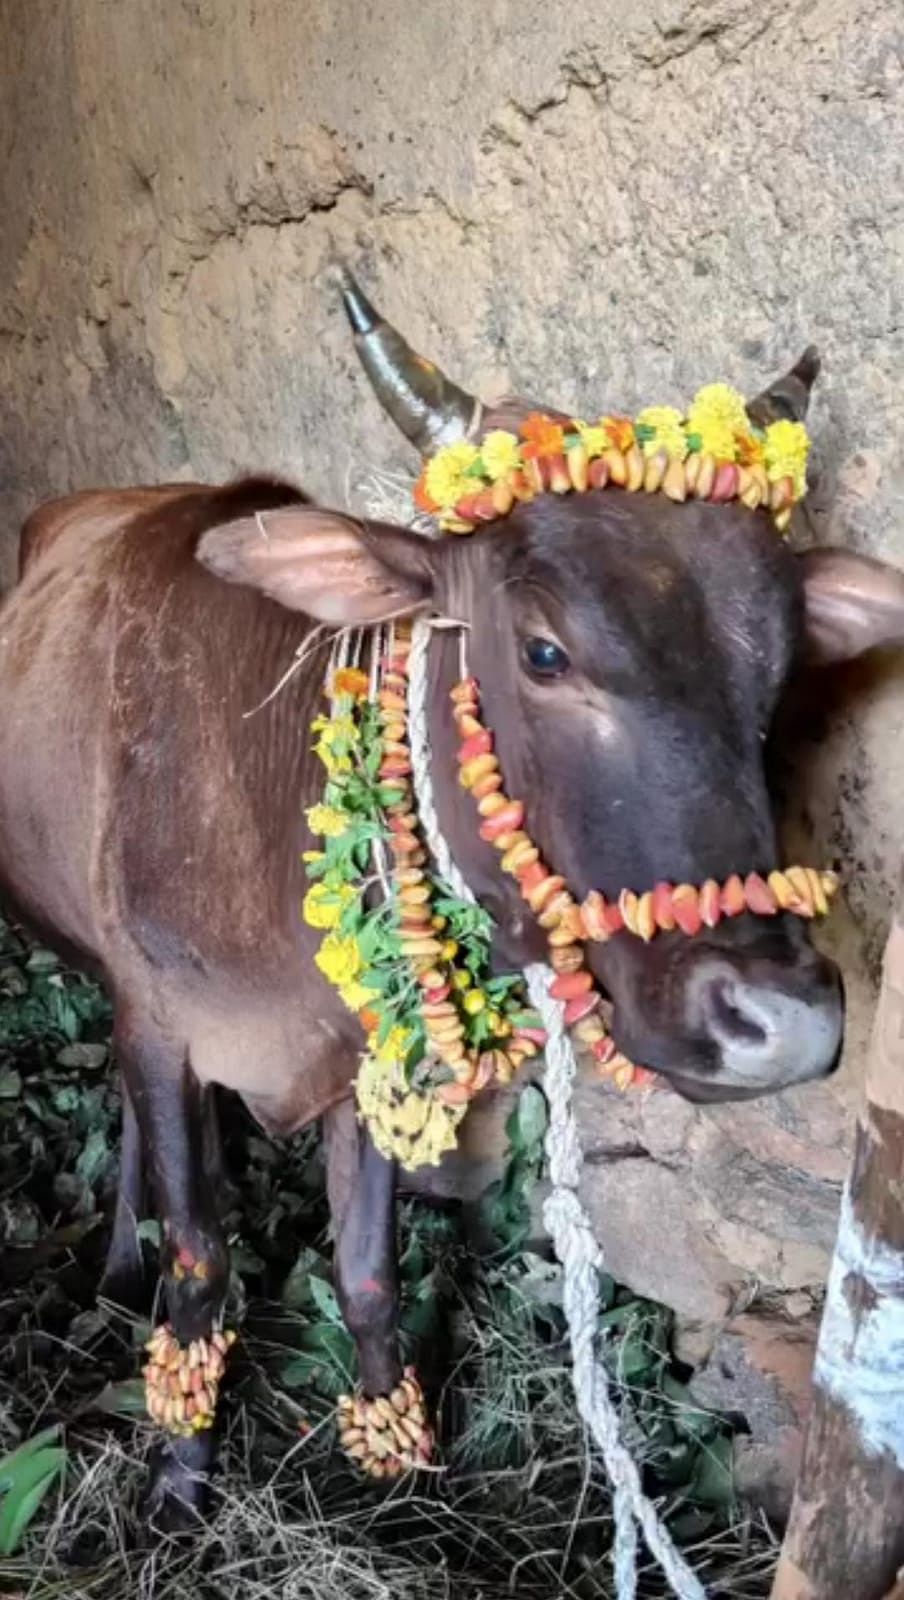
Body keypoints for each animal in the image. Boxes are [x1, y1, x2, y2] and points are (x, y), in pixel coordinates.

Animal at [1, 268, 902, 1516]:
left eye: (777, 669)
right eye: (542, 651)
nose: (782, 1020)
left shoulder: (371, 1046)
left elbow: (369, 1263)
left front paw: (398, 1450)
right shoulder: (162, 1018)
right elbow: (202, 1251)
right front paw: (182, 1467)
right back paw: (121, 1254)